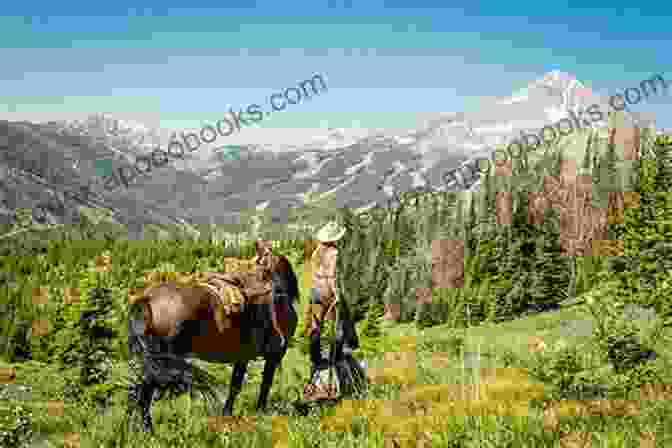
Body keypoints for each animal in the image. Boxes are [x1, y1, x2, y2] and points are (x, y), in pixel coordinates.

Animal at [127, 242, 300, 434]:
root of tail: (147, 298)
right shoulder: (273, 355)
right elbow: (262, 384)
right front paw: (259, 411)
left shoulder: (243, 356)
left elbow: (235, 384)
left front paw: (227, 415)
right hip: (161, 360)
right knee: (145, 391)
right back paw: (147, 429)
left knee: (141, 390)